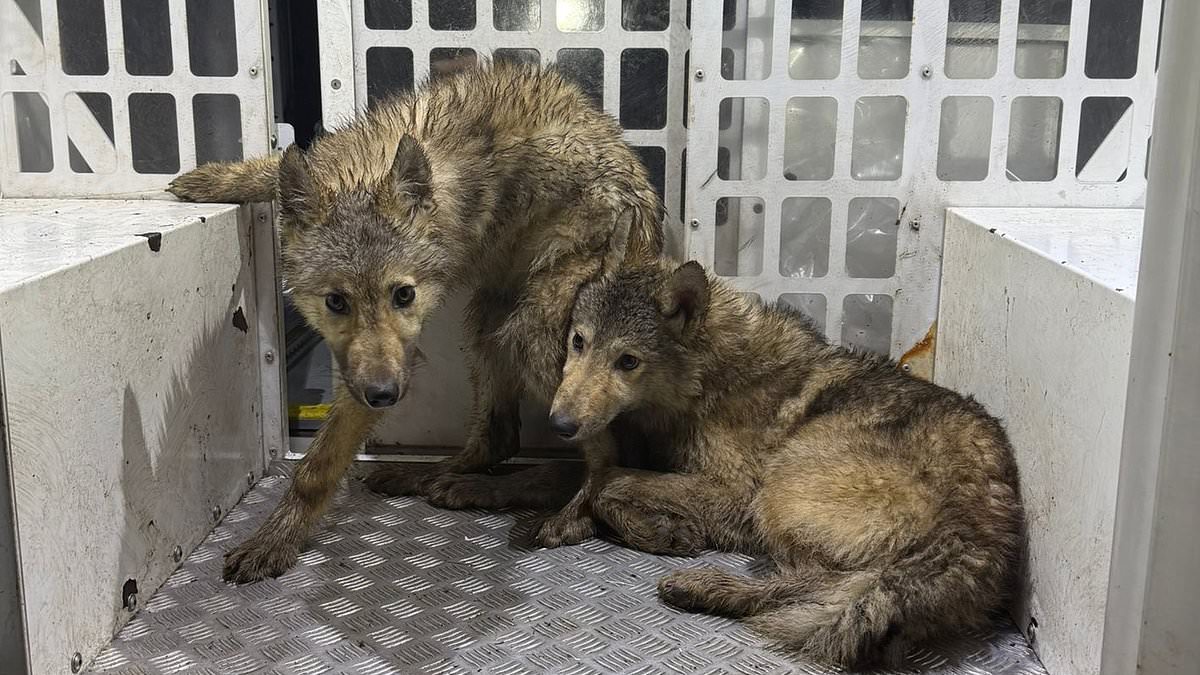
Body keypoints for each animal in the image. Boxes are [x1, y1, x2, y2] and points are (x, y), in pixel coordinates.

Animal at [167, 61, 664, 582]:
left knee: (605, 451)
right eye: (336, 302)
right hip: (487, 322)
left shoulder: (379, 371)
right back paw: (435, 477)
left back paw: (572, 514)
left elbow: (316, 468)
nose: (384, 395)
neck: (370, 170)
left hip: (535, 336)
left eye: (402, 295)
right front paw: (213, 180)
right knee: (496, 439)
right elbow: (276, 167)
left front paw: (275, 539)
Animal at [434, 258, 1024, 667]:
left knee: (819, 582)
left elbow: (607, 480)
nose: (558, 424)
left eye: (628, 360)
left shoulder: (736, 496)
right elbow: (553, 473)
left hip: (780, 494)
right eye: (578, 343)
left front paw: (625, 526)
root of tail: (978, 532)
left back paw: (706, 586)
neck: (705, 379)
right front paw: (467, 485)